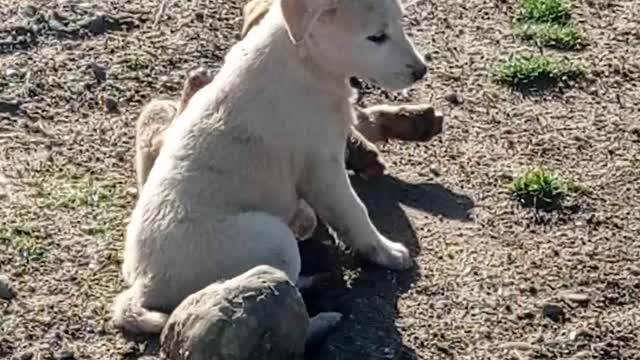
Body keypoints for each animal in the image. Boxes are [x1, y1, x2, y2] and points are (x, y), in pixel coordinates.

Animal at [113, 0, 428, 334]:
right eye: (377, 37)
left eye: (400, 24)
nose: (421, 71)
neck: (305, 60)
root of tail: (145, 284)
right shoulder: (323, 167)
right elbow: (355, 213)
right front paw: (386, 252)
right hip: (272, 239)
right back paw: (321, 317)